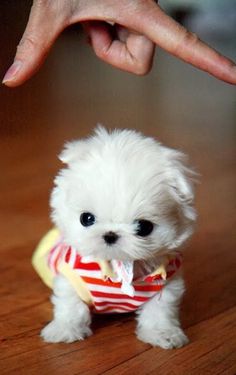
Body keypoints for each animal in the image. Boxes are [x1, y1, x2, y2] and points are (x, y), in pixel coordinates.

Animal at [34, 127, 196, 350]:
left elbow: (159, 312)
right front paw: (65, 330)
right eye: (86, 218)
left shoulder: (167, 285)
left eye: (144, 227)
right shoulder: (69, 279)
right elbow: (71, 306)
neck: (118, 265)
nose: (110, 234)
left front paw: (162, 334)